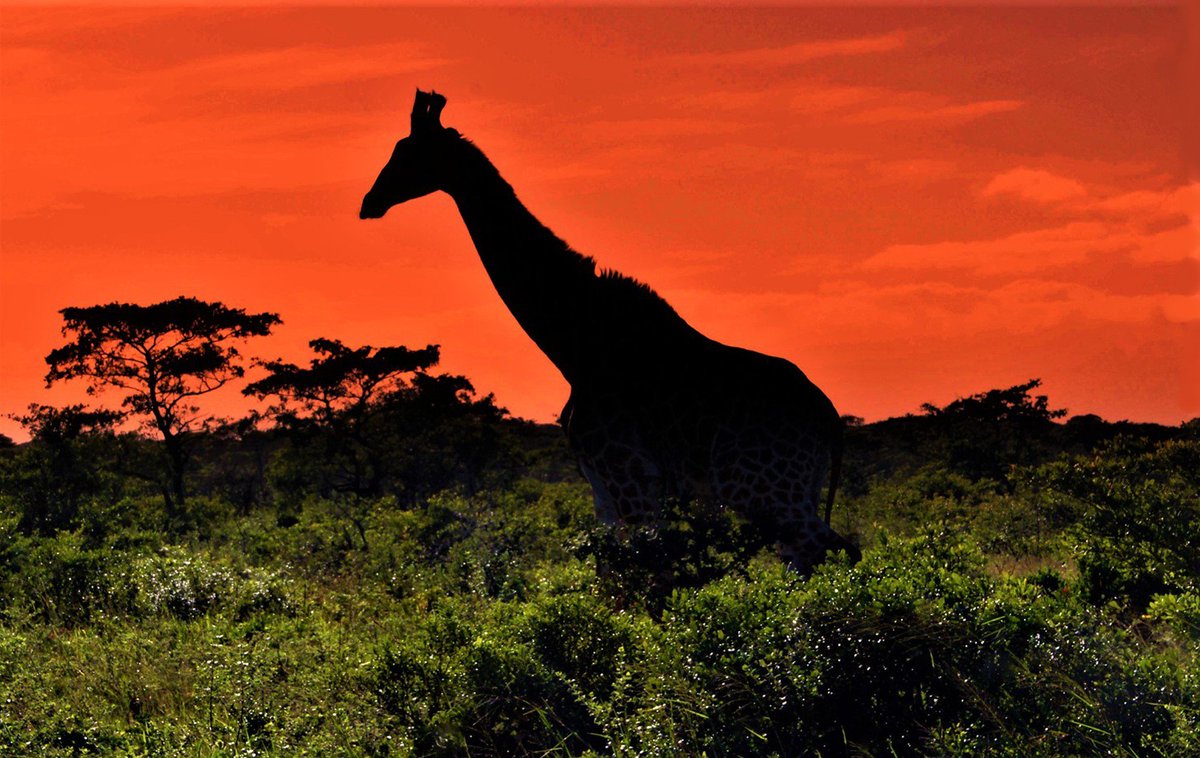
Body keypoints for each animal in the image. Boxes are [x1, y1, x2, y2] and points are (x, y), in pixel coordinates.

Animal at [360, 90, 859, 573]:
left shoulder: (631, 478)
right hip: (787, 490)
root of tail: (829, 417)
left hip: (762, 489)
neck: (576, 341)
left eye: (407, 153)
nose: (369, 202)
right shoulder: (602, 487)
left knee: (835, 553)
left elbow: (651, 577)